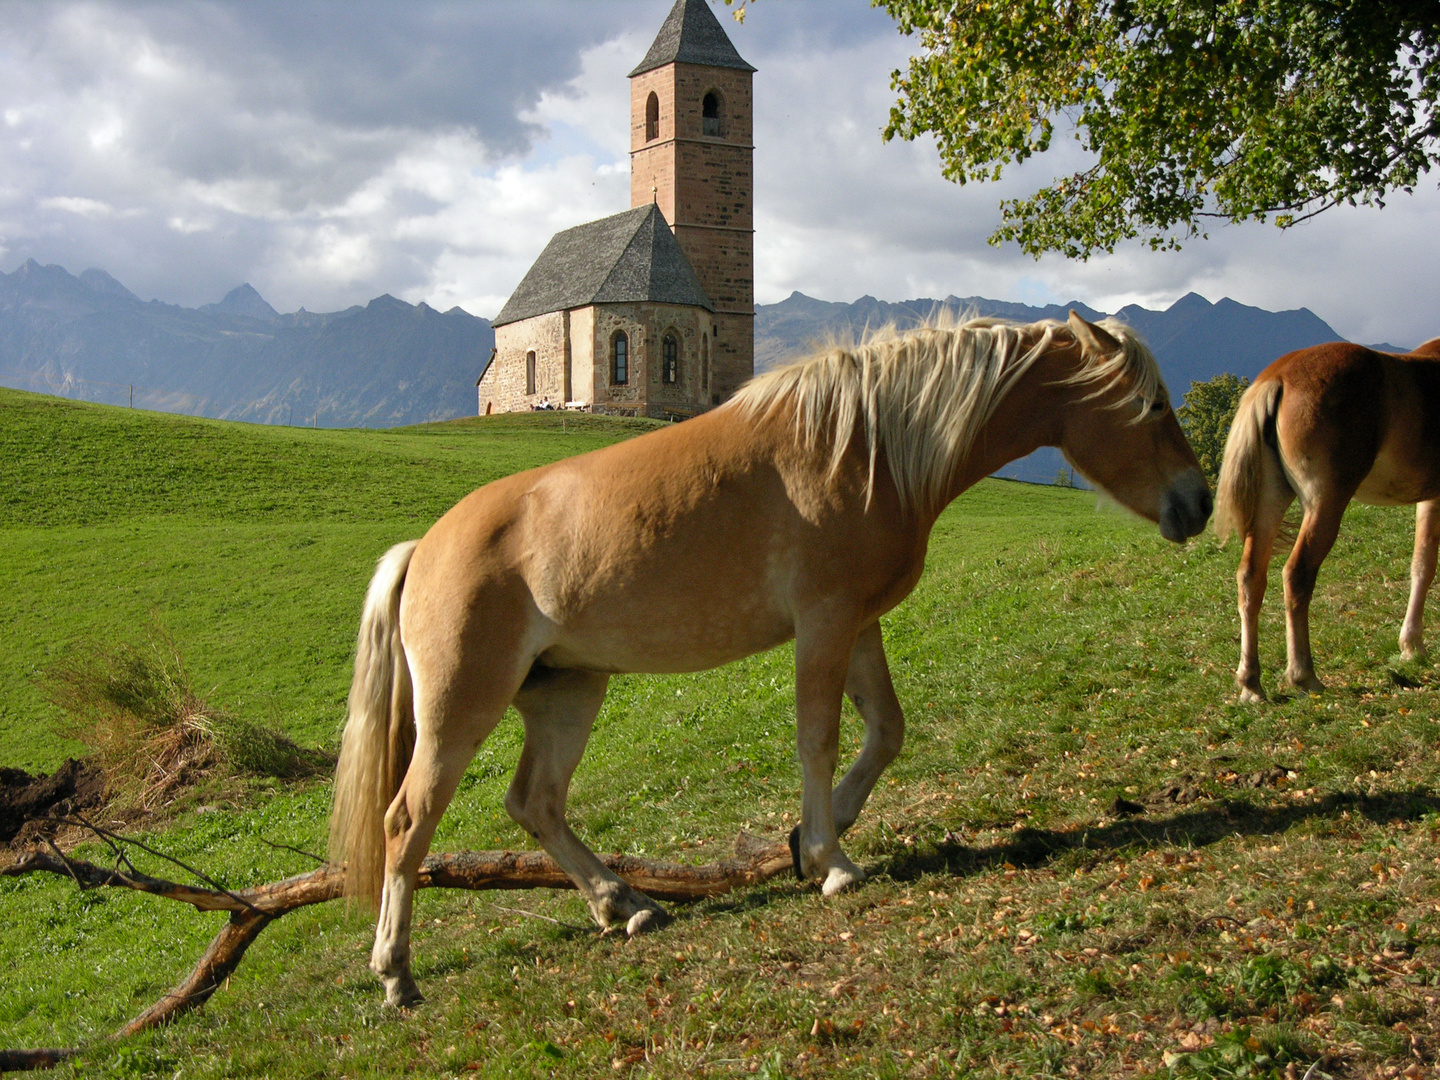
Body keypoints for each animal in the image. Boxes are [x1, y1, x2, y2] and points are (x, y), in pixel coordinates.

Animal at [331, 312, 1209, 1008]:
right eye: (1153, 404)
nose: (1198, 503)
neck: (863, 446)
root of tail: (425, 547)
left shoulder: (860, 624)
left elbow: (886, 730)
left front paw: (809, 838)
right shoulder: (824, 623)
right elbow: (818, 737)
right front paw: (830, 860)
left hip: (567, 693)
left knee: (536, 802)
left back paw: (625, 904)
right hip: (461, 709)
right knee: (408, 820)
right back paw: (397, 974)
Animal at [1215, 336, 1440, 702]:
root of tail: (1279, 377)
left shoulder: (1430, 498)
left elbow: (1422, 564)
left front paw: (1412, 645)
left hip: (1269, 504)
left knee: (1250, 578)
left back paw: (1251, 682)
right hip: (1325, 503)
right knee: (1297, 574)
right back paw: (1303, 674)